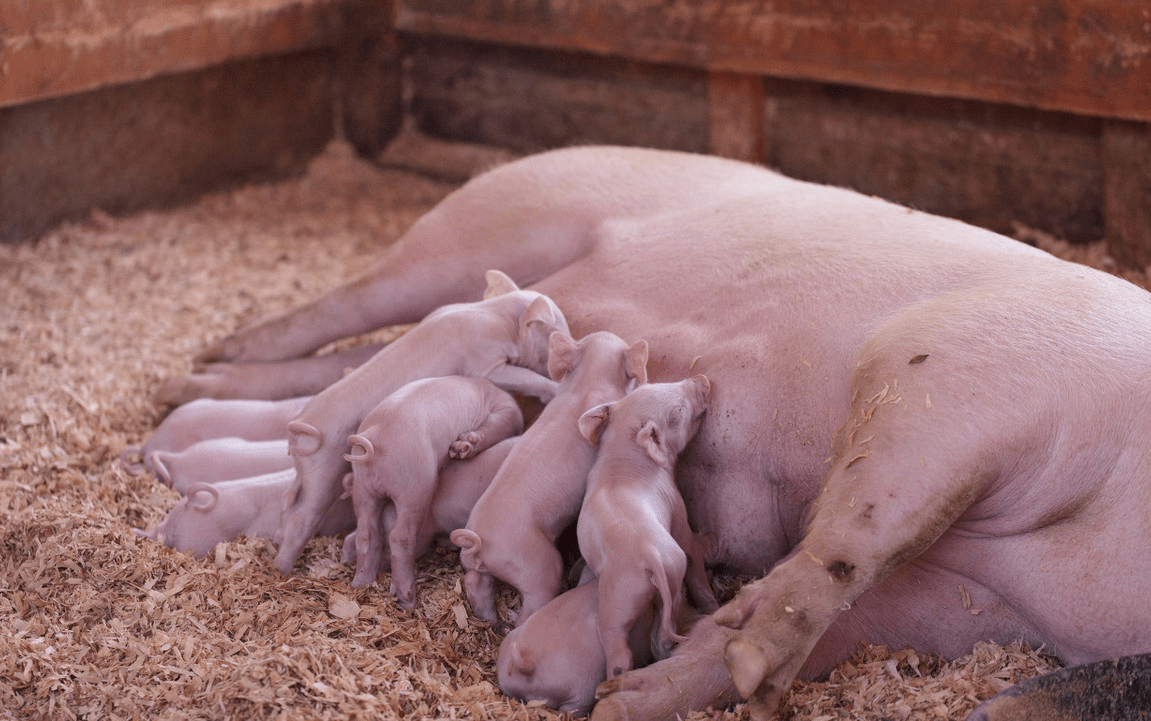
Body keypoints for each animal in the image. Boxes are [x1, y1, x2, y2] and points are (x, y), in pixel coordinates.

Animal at [168, 143, 1151, 714]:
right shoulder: (957, 372)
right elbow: (858, 532)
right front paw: (752, 657)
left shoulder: (965, 603)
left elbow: (837, 607)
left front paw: (653, 693)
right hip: (479, 227)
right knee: (342, 306)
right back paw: (203, 359)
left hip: (456, 317)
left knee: (350, 365)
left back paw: (198, 384)